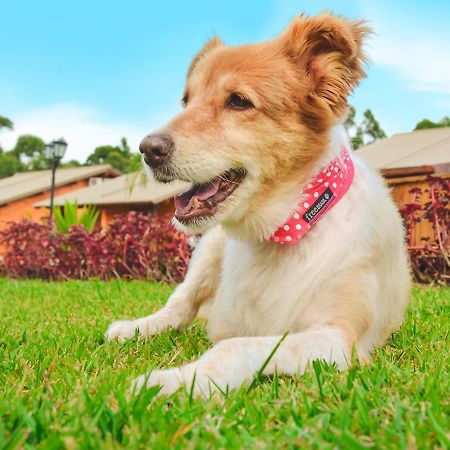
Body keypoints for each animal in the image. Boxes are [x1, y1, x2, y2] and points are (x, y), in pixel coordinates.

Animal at [106, 11, 412, 398]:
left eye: (238, 101)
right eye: (186, 101)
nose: (147, 149)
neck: (284, 230)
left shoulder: (338, 338)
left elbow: (233, 347)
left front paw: (176, 382)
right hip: (209, 248)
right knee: (179, 306)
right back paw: (134, 328)